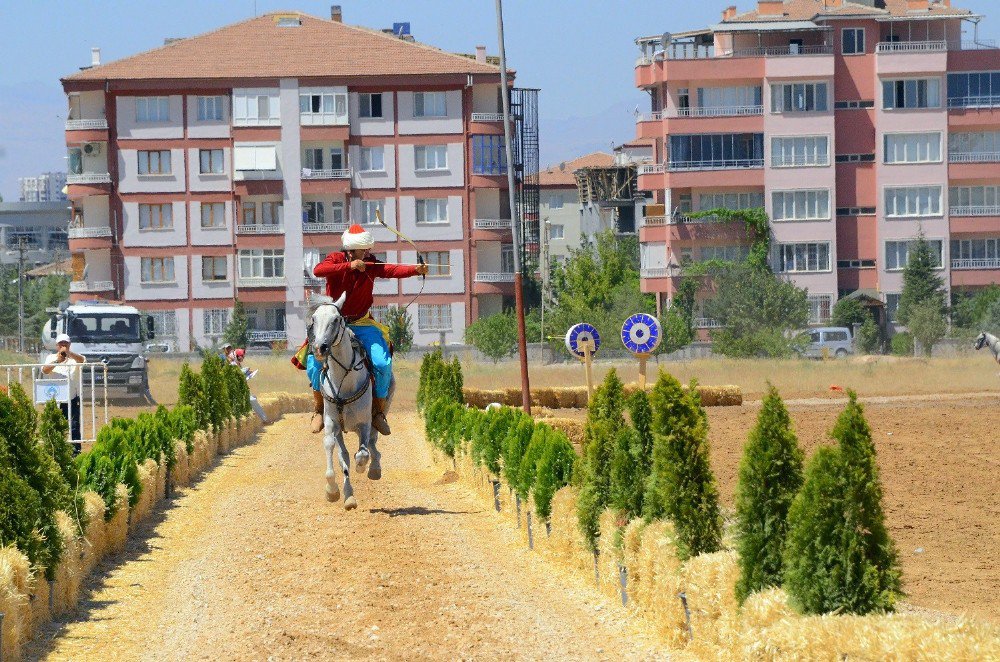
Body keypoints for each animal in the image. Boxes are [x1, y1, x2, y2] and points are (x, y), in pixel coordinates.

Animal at [308, 294, 394, 510]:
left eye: (336, 319)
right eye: (313, 319)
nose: (319, 348)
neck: (344, 381)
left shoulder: (364, 423)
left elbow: (363, 453)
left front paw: (363, 467)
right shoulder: (332, 424)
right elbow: (333, 451)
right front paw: (333, 491)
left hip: (375, 418)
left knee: (373, 443)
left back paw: (374, 469)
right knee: (345, 455)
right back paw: (349, 496)